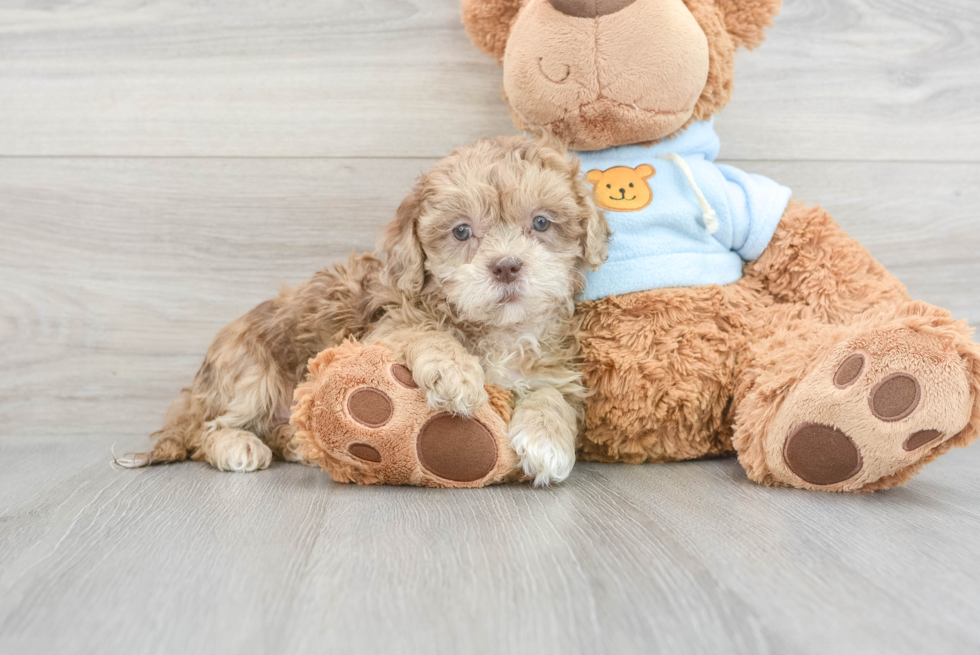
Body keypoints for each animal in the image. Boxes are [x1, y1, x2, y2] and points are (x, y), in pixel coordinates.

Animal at [126, 137, 608, 486]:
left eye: (541, 223)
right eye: (461, 231)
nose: (507, 266)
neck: (500, 332)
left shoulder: (555, 367)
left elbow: (552, 395)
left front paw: (547, 441)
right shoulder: (385, 327)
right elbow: (424, 331)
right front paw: (455, 371)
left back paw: (298, 443)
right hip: (250, 375)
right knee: (204, 431)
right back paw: (238, 446)